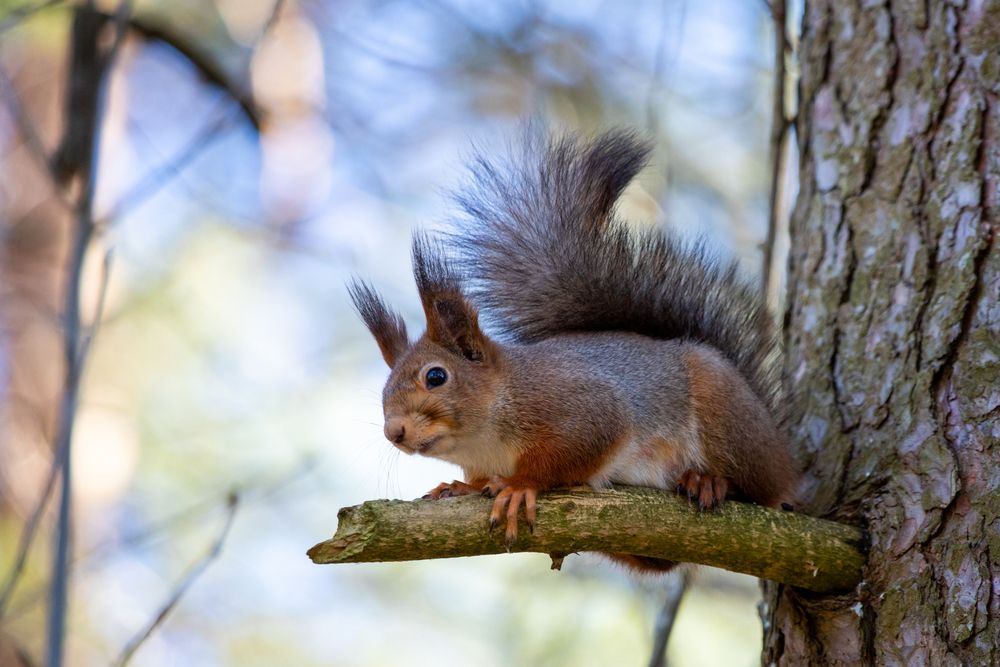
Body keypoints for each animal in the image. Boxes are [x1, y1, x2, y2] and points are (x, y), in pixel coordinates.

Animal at [348, 129, 800, 571]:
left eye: (436, 376)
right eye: (384, 392)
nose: (394, 432)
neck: (487, 436)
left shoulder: (581, 406)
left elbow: (578, 447)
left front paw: (517, 484)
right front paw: (460, 487)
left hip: (727, 416)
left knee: (763, 491)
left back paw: (710, 480)